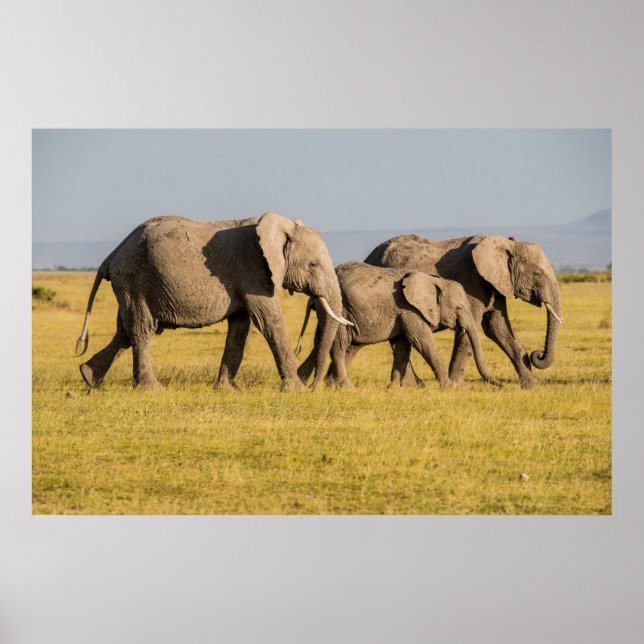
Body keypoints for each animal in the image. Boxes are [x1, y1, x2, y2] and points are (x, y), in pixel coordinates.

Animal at [75, 212, 352, 391]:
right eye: (312, 265)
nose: (315, 387)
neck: (281, 227)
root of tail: (113, 254)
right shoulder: (254, 270)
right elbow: (270, 322)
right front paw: (296, 391)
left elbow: (240, 327)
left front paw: (227, 390)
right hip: (134, 279)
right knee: (142, 329)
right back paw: (152, 389)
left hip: (131, 284)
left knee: (125, 331)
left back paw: (88, 377)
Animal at [296, 262, 502, 389]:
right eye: (459, 308)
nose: (500, 384)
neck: (434, 280)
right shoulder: (409, 309)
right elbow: (422, 341)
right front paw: (450, 387)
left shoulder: (403, 312)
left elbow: (403, 346)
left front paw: (394, 388)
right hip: (342, 311)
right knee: (339, 346)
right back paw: (344, 387)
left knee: (336, 345)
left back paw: (326, 384)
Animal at [364, 234, 563, 388]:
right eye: (537, 273)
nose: (538, 354)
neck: (505, 243)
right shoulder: (472, 282)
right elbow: (472, 328)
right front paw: (458, 386)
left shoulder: (496, 284)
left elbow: (498, 328)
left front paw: (533, 383)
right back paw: (414, 385)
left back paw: (415, 385)